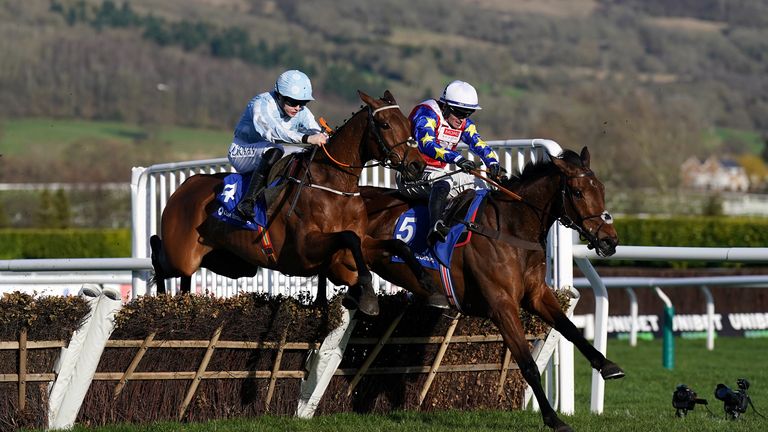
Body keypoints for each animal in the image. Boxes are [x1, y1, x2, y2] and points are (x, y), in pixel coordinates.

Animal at [150, 89, 426, 316]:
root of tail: (183, 188)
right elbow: (348, 238)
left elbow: (394, 245)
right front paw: (367, 294)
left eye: (408, 124)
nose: (417, 164)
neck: (335, 186)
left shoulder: (361, 241)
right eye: (385, 124)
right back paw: (161, 297)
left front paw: (426, 282)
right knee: (160, 258)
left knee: (185, 278)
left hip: (229, 261)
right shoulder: (304, 248)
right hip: (182, 255)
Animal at [354, 147, 624, 430]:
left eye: (601, 189)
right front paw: (553, 418)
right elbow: (528, 364)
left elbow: (570, 329)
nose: (609, 241)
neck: (511, 229)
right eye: (578, 192)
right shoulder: (501, 306)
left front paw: (607, 365)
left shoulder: (537, 295)